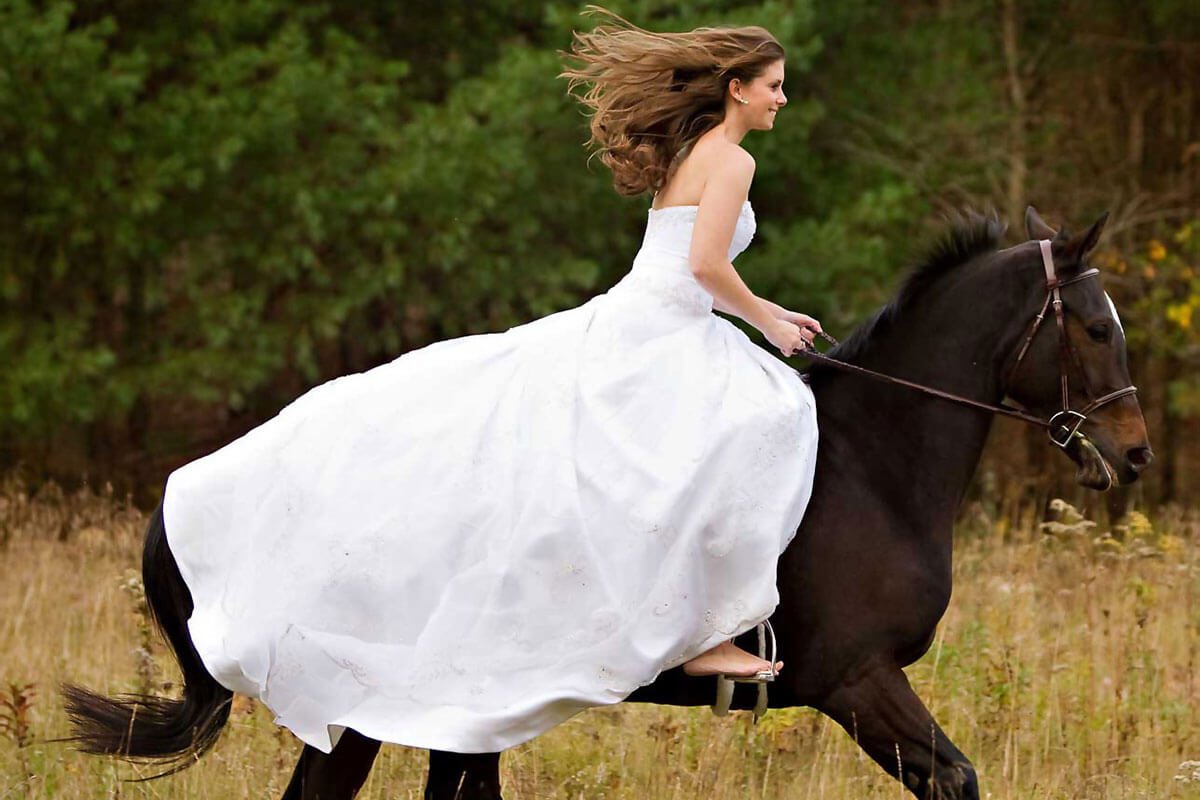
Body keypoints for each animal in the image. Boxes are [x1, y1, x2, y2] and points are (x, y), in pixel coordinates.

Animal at [65, 205, 1152, 796]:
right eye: (1097, 328)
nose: (1135, 454)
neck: (872, 463)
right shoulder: (858, 679)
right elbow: (957, 776)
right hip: (369, 710)